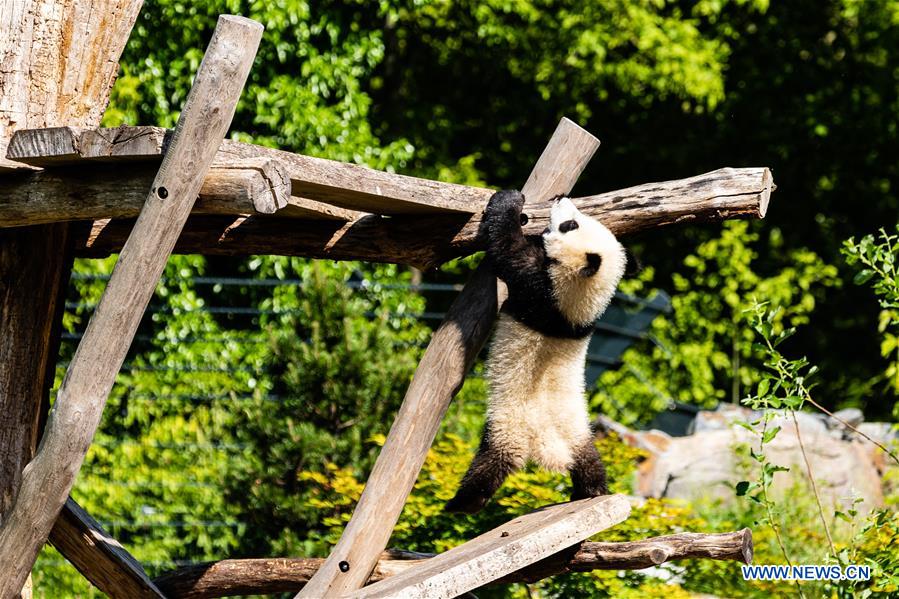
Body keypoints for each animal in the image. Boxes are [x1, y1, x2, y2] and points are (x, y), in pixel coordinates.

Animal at [442, 190, 624, 512]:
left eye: (570, 225)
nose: (562, 199)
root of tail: (550, 448)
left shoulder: (540, 288)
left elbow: (506, 249)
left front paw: (510, 200)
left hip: (507, 430)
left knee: (488, 468)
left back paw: (459, 504)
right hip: (579, 432)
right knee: (590, 464)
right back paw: (592, 491)